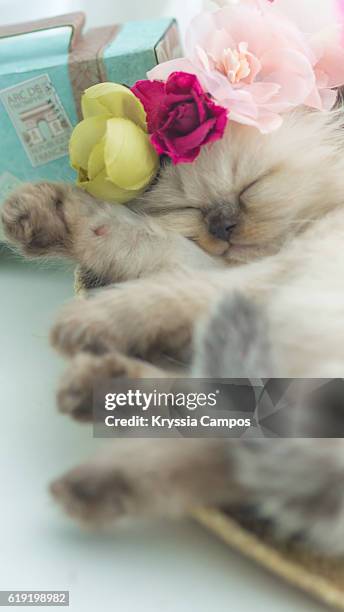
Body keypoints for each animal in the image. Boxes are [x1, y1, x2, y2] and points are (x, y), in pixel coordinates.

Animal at [2, 107, 344, 556]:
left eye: (252, 186)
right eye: (192, 206)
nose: (221, 225)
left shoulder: (280, 267)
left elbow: (170, 278)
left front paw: (85, 320)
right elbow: (150, 241)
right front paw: (38, 213)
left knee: (227, 426)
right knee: (224, 426)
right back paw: (95, 439)